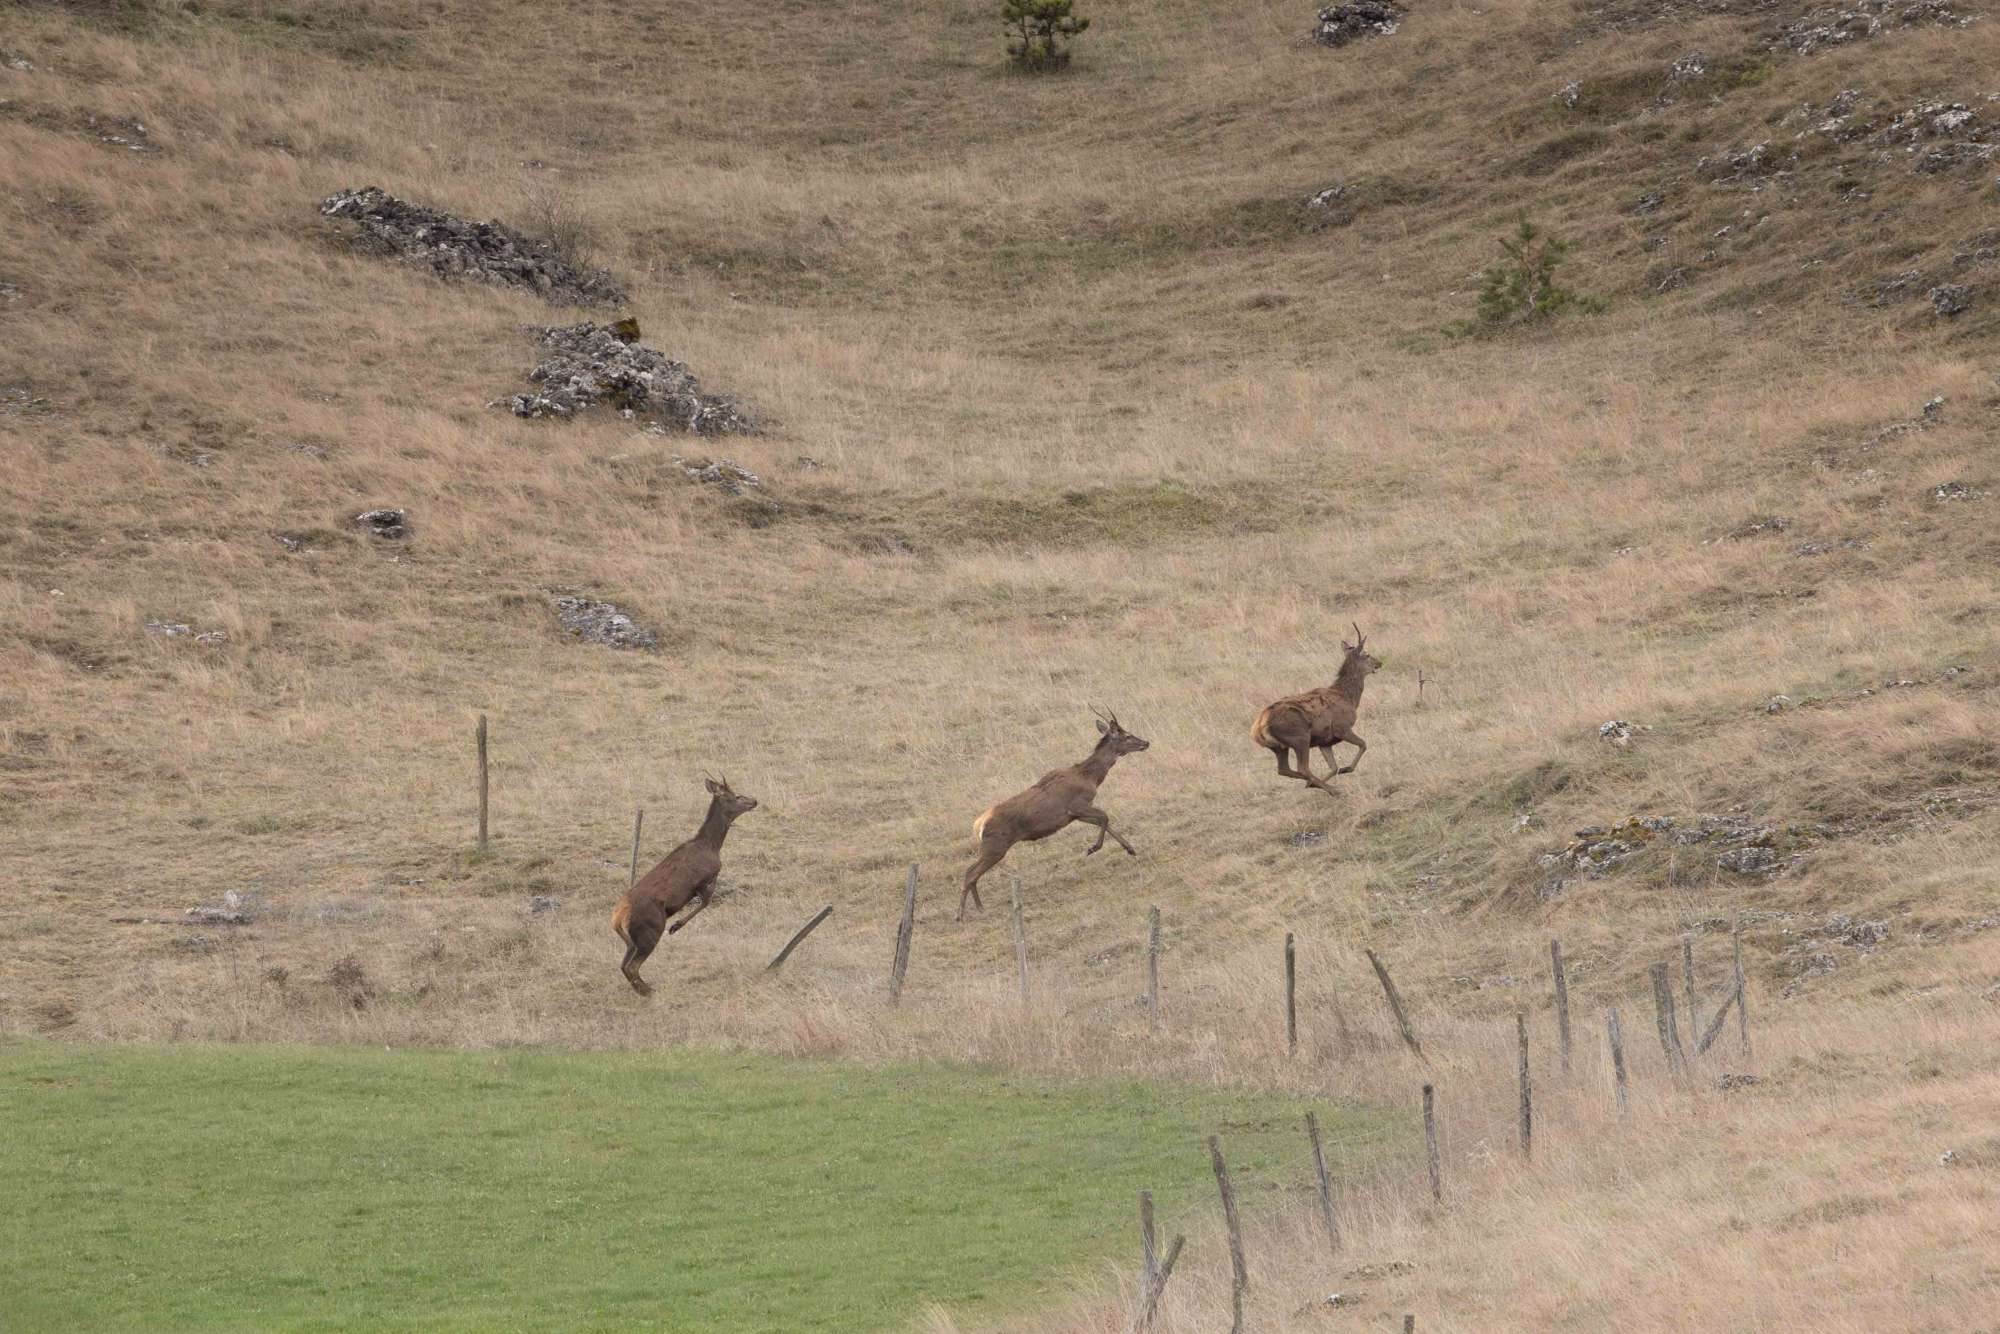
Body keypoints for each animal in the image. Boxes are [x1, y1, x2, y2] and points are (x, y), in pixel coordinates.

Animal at [608, 776, 756, 996]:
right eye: (737, 795)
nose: (754, 801)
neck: (712, 845)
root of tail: (619, 914)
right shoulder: (703, 880)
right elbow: (706, 902)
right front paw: (676, 926)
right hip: (650, 930)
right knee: (631, 966)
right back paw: (647, 990)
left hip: (632, 940)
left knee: (623, 964)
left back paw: (643, 988)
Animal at [960, 708, 1152, 920]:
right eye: (1126, 735)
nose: (1146, 742)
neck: (1090, 777)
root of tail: (978, 826)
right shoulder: (1076, 805)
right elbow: (1105, 815)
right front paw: (1093, 848)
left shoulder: (1073, 815)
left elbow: (1104, 821)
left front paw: (1130, 848)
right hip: (996, 846)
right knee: (970, 873)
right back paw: (962, 914)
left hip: (992, 847)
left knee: (971, 872)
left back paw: (979, 908)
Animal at [1256, 624, 1384, 800]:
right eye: (1367, 654)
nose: (1380, 663)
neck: (1348, 697)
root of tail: (1258, 728)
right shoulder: (1342, 728)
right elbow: (1363, 745)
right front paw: (1346, 769)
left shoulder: (1324, 741)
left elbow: (1334, 767)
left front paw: (1323, 779)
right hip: (1300, 738)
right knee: (1302, 768)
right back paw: (1333, 789)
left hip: (1280, 747)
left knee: (1284, 770)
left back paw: (1316, 784)